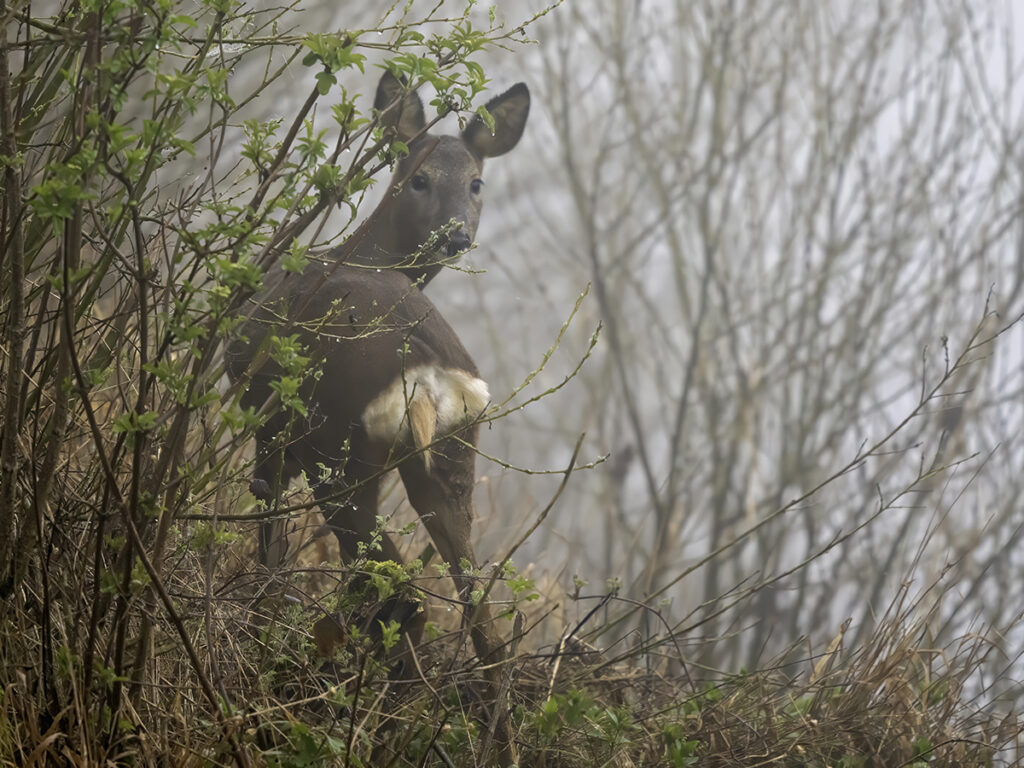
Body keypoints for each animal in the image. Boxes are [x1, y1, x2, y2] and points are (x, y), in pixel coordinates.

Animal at [224, 71, 529, 698]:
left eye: (475, 182)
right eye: (420, 178)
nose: (455, 236)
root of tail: (427, 366)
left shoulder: (272, 425)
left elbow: (271, 536)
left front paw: (261, 616)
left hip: (339, 448)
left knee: (397, 593)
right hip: (451, 457)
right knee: (478, 608)